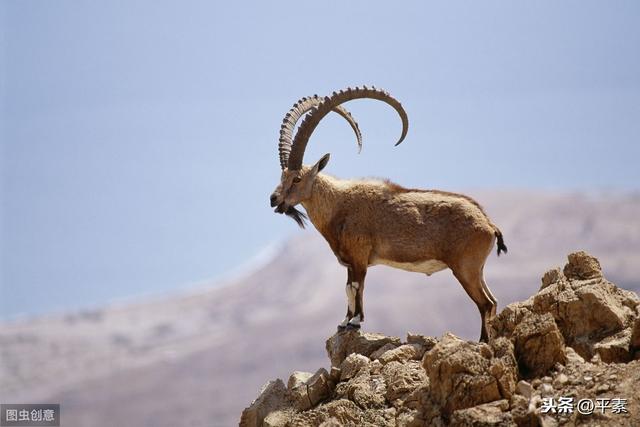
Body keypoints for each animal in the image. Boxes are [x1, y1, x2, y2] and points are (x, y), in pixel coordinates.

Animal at [268, 88, 504, 344]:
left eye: (297, 179)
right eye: (282, 176)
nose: (273, 199)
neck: (338, 204)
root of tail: (489, 224)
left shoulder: (360, 257)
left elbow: (356, 286)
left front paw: (355, 321)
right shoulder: (349, 261)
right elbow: (348, 288)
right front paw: (344, 322)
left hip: (465, 268)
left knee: (485, 303)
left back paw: (483, 341)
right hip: (477, 270)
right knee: (492, 301)